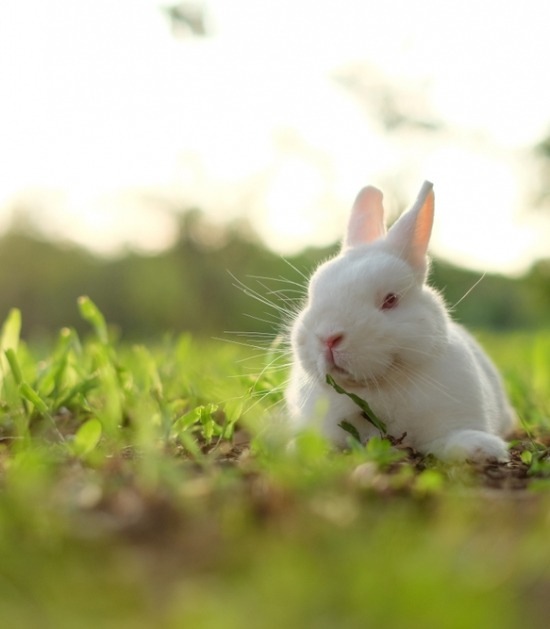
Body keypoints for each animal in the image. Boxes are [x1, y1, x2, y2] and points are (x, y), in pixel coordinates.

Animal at [286, 182, 520, 462]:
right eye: (312, 294)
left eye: (390, 300)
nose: (329, 338)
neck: (378, 386)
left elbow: (447, 439)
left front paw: (481, 447)